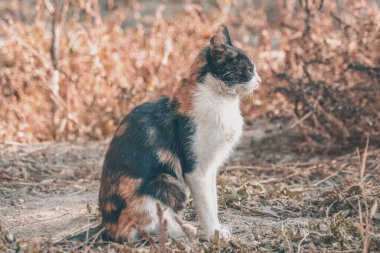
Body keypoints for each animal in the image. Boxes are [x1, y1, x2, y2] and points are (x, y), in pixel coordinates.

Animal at [98, 25, 262, 241]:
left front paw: (218, 229)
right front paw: (215, 234)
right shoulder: (195, 169)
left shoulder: (210, 168)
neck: (222, 101)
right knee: (140, 227)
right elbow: (206, 206)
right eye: (248, 69)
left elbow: (213, 201)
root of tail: (107, 229)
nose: (259, 81)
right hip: (165, 181)